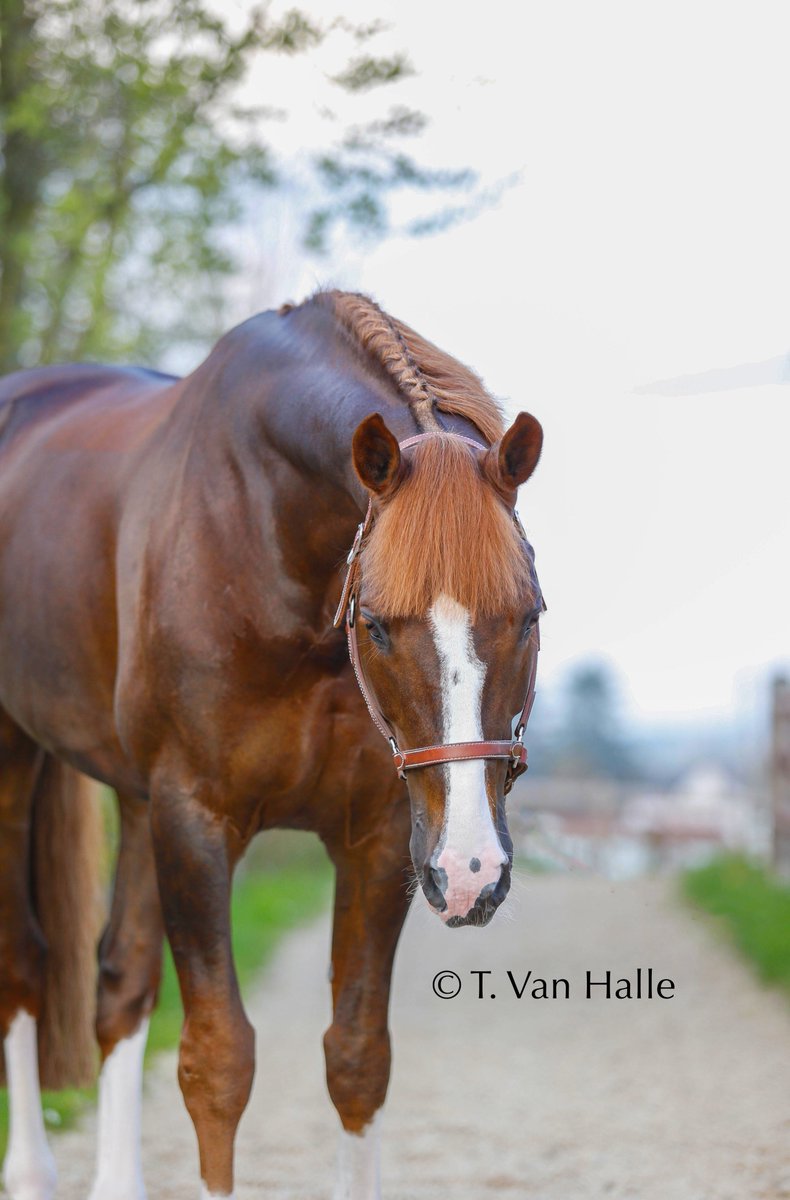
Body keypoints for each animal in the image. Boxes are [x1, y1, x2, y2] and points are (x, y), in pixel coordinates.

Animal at [0, 289, 544, 1200]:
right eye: (376, 624)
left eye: (529, 615)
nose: (472, 871)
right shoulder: (196, 821)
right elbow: (217, 1063)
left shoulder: (374, 841)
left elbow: (358, 1059)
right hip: (19, 763)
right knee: (26, 965)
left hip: (138, 801)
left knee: (119, 985)